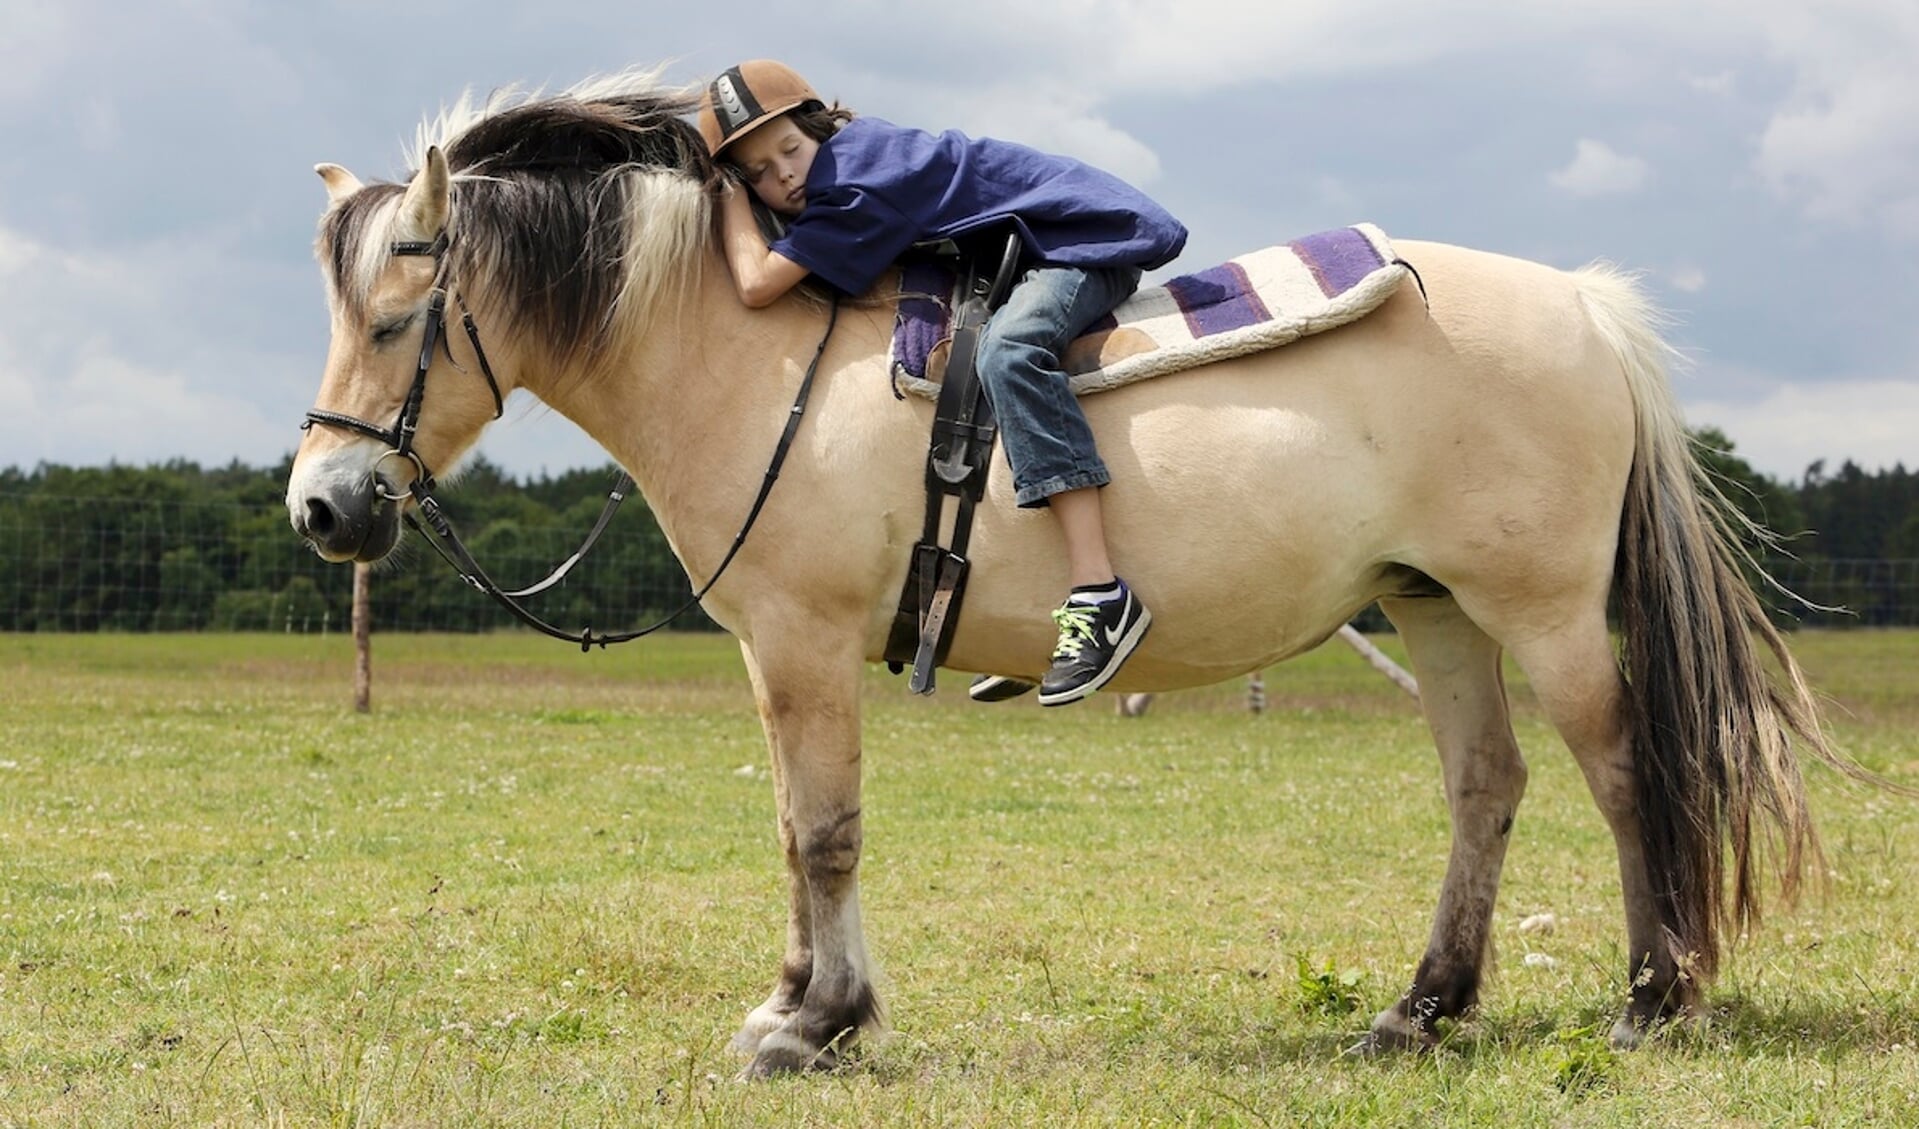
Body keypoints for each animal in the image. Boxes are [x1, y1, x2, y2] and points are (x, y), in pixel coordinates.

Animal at [287, 70, 1857, 1075]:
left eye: (402, 307)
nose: (322, 503)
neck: (748, 355)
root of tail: (1581, 306)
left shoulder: (800, 639)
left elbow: (824, 832)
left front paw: (817, 1023)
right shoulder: (766, 653)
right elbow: (793, 828)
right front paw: (796, 1001)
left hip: (1540, 610)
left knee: (1622, 769)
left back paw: (1652, 998)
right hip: (1433, 606)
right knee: (1487, 787)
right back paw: (1419, 1009)